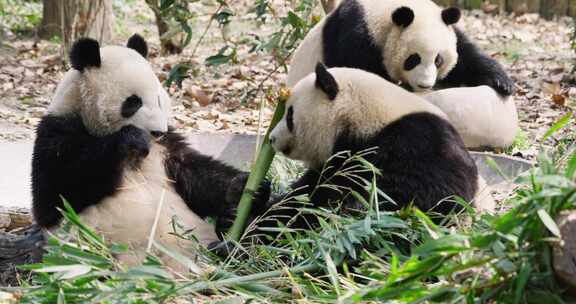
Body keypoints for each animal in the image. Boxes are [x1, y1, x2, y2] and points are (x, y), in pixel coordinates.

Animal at [31, 34, 270, 270]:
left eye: (158, 99)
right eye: (133, 102)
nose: (157, 131)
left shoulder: (167, 148)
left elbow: (197, 176)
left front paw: (246, 186)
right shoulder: (56, 134)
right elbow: (57, 194)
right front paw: (131, 139)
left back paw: (231, 232)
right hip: (92, 252)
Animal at [286, 0, 516, 96]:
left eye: (438, 60)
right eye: (413, 59)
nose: (425, 85)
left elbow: (466, 58)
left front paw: (501, 82)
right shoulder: (355, 33)